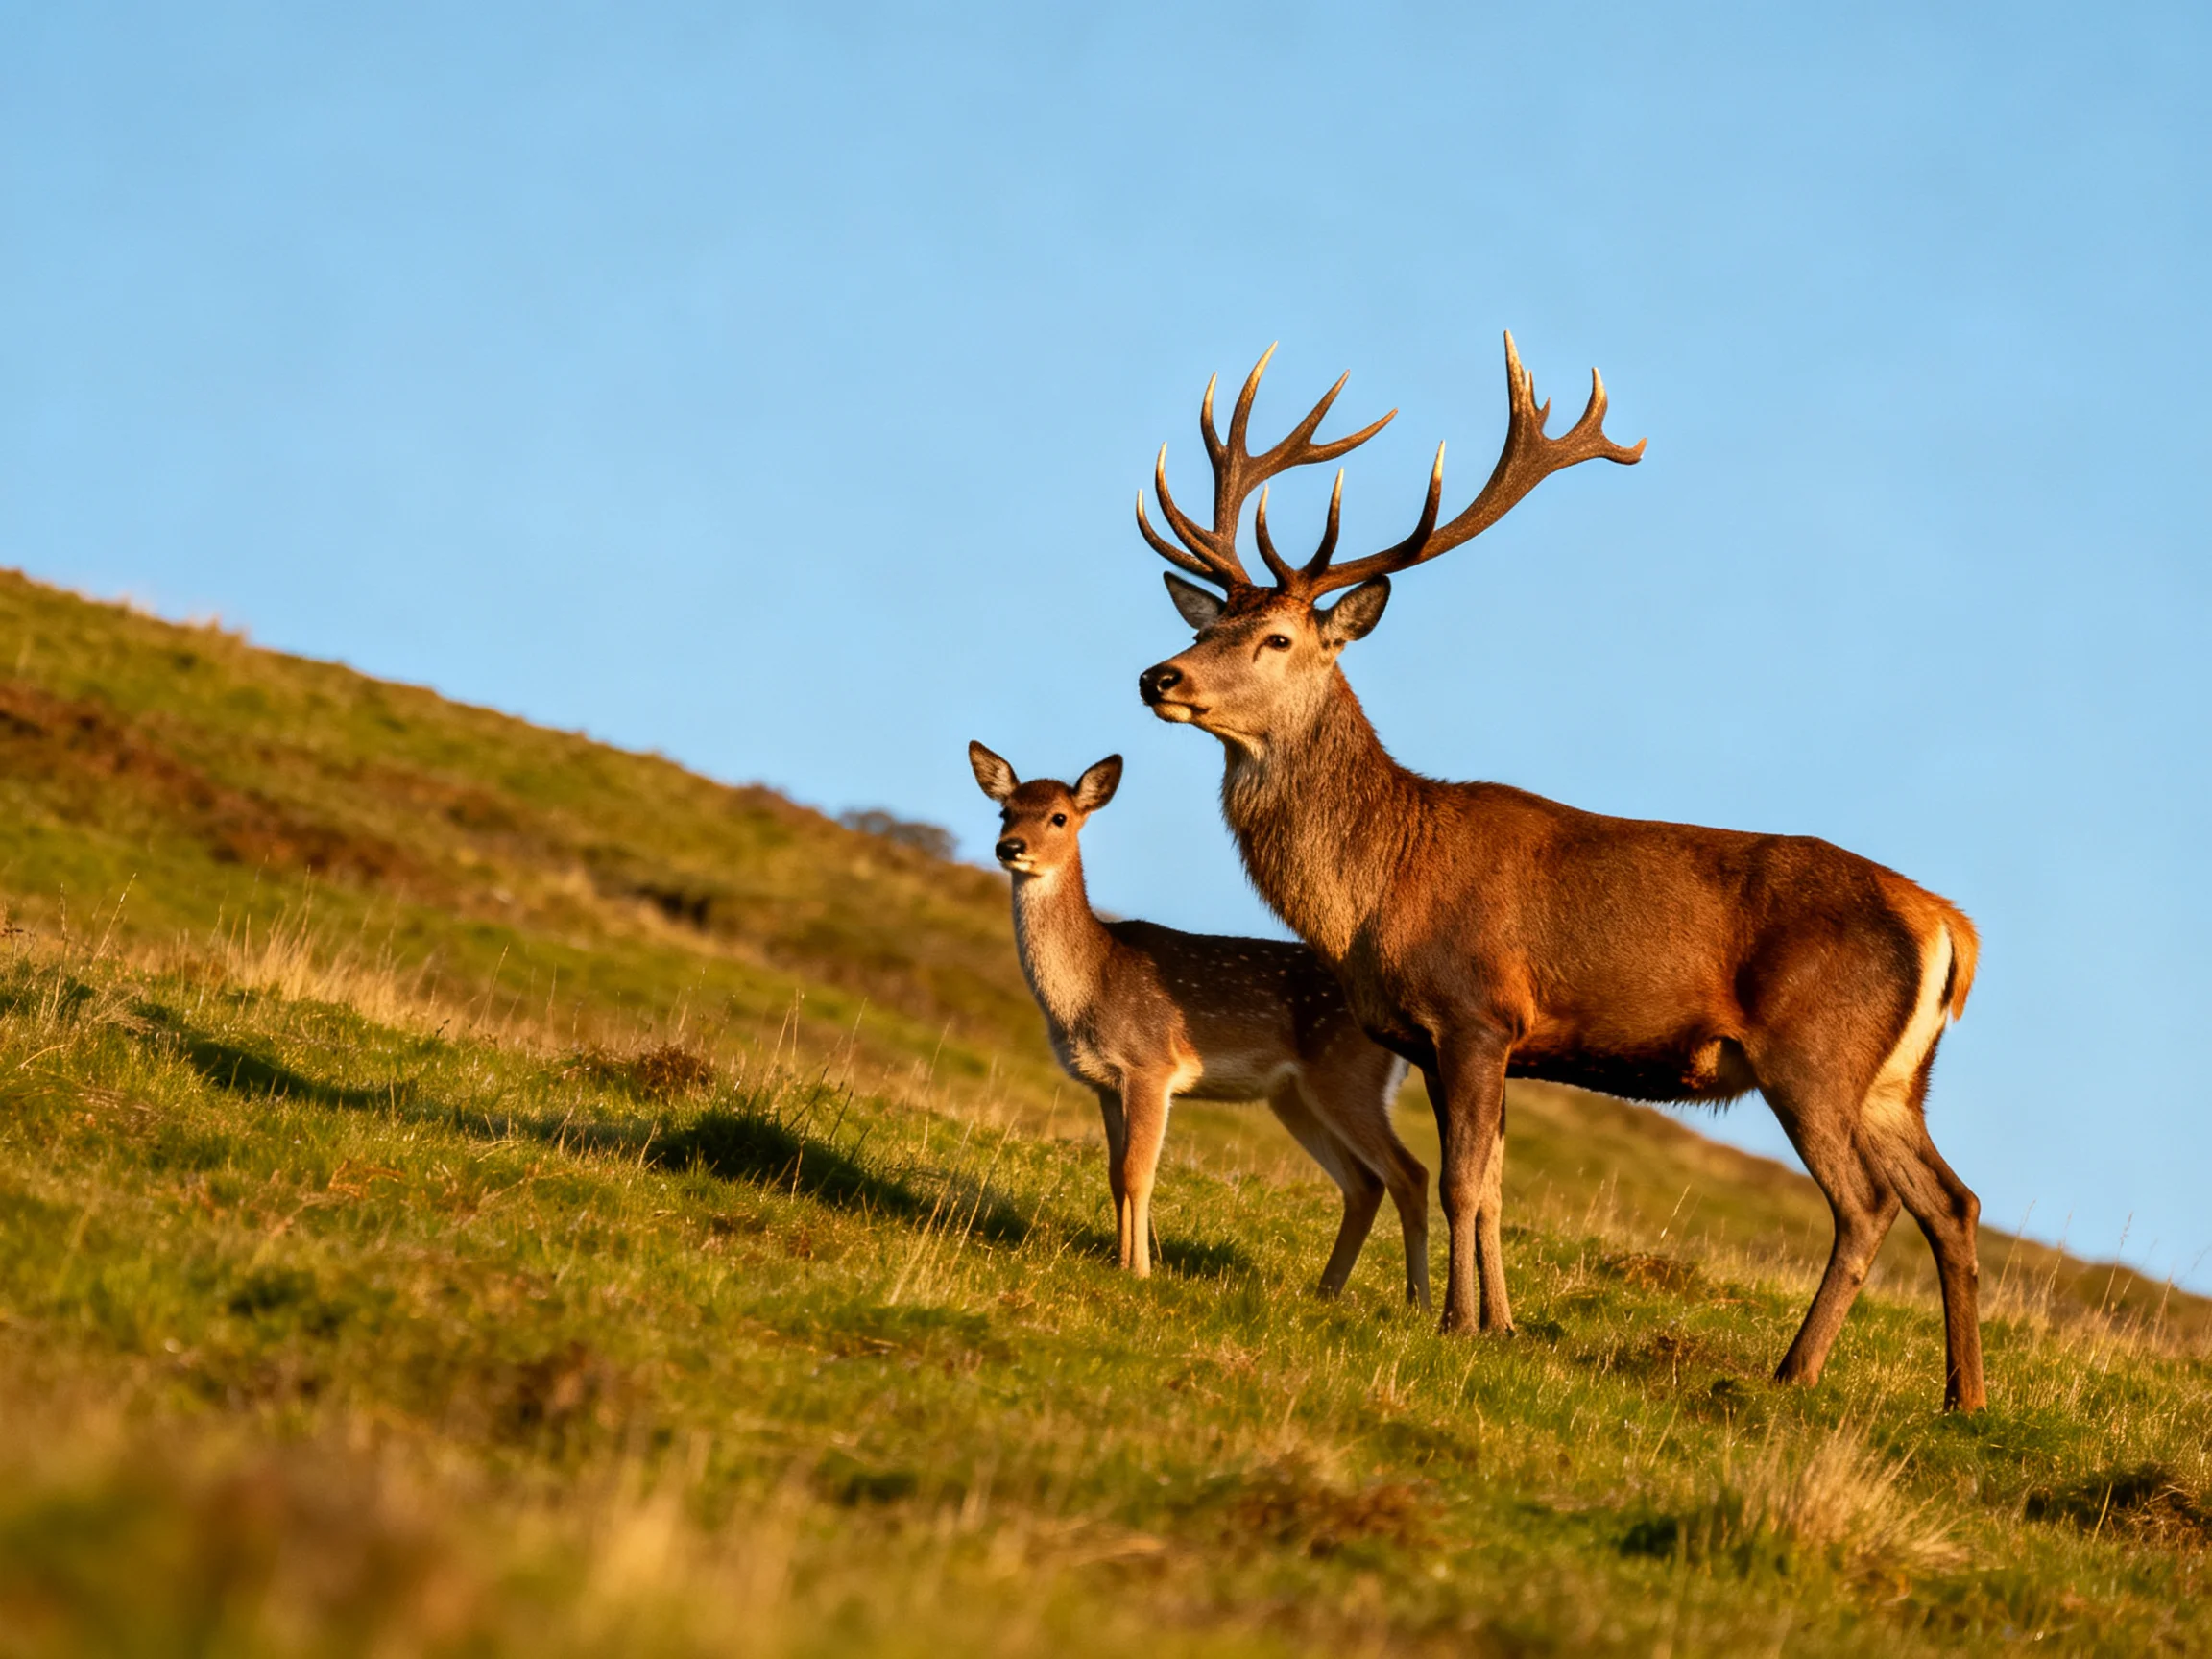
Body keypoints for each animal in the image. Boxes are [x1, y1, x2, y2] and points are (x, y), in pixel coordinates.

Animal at [967, 740, 1431, 1306]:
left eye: (1059, 817)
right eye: (1005, 810)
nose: (1009, 847)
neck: (1091, 984)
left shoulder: (1150, 1065)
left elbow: (1139, 1173)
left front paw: (1140, 1271)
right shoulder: (1105, 1083)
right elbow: (1115, 1175)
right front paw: (1120, 1260)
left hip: (1347, 1078)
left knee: (1410, 1174)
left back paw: (1419, 1304)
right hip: (1295, 1097)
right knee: (1364, 1184)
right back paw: (1326, 1292)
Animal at [1130, 335, 1987, 1410]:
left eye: (1277, 638)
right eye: (1206, 626)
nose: (1158, 676)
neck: (1377, 891)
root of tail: (1949, 925)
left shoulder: (1475, 1013)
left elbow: (1463, 1181)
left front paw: (1455, 1324)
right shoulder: (1454, 1042)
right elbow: (1495, 1187)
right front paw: (1499, 1324)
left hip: (1814, 1054)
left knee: (1868, 1204)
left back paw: (1792, 1373)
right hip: (1897, 1080)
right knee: (1954, 1201)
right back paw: (1964, 1399)